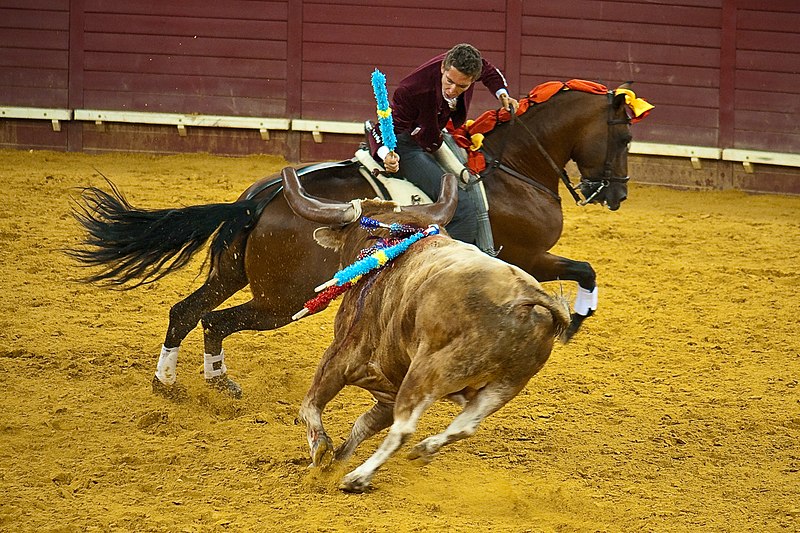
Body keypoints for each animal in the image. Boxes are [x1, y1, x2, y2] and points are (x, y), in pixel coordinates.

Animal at [72, 84, 640, 400]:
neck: (511, 166)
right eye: (626, 137)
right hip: (284, 300)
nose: (616, 194)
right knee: (214, 320)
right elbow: (585, 269)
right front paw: (577, 318)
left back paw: (169, 384)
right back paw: (213, 382)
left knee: (186, 312)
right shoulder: (530, 257)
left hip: (233, 275)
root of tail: (260, 199)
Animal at [282, 167, 568, 494]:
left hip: (426, 372)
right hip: (506, 384)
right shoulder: (388, 389)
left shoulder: (341, 356)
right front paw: (336, 460)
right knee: (466, 425)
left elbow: (311, 406)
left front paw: (322, 453)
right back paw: (423, 449)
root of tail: (525, 295)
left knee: (405, 427)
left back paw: (358, 477)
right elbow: (362, 425)